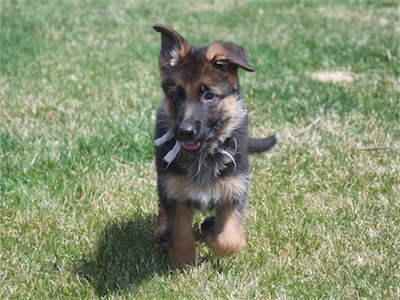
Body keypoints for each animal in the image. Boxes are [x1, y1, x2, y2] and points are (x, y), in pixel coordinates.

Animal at [153, 24, 278, 268]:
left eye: (209, 96)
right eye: (176, 95)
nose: (185, 132)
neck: (204, 153)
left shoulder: (234, 191)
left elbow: (230, 240)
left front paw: (210, 231)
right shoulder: (176, 192)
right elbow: (181, 235)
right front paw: (183, 261)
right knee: (161, 201)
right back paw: (162, 229)